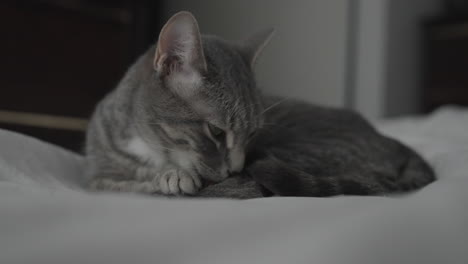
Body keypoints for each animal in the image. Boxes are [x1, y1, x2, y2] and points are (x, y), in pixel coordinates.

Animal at [87, 11, 436, 198]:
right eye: (216, 132)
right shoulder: (99, 173)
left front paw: (171, 176)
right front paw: (166, 176)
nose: (236, 168)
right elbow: (121, 180)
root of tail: (398, 145)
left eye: (252, 134)